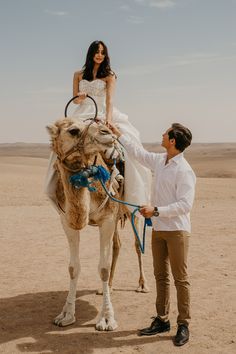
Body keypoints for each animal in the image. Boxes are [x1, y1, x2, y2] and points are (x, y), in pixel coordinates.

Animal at [46, 117, 148, 330]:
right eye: (73, 130)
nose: (106, 132)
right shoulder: (66, 221)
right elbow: (73, 268)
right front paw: (66, 315)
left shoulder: (107, 219)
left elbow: (103, 268)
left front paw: (107, 319)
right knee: (117, 244)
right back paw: (108, 287)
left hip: (132, 210)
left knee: (136, 244)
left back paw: (142, 285)